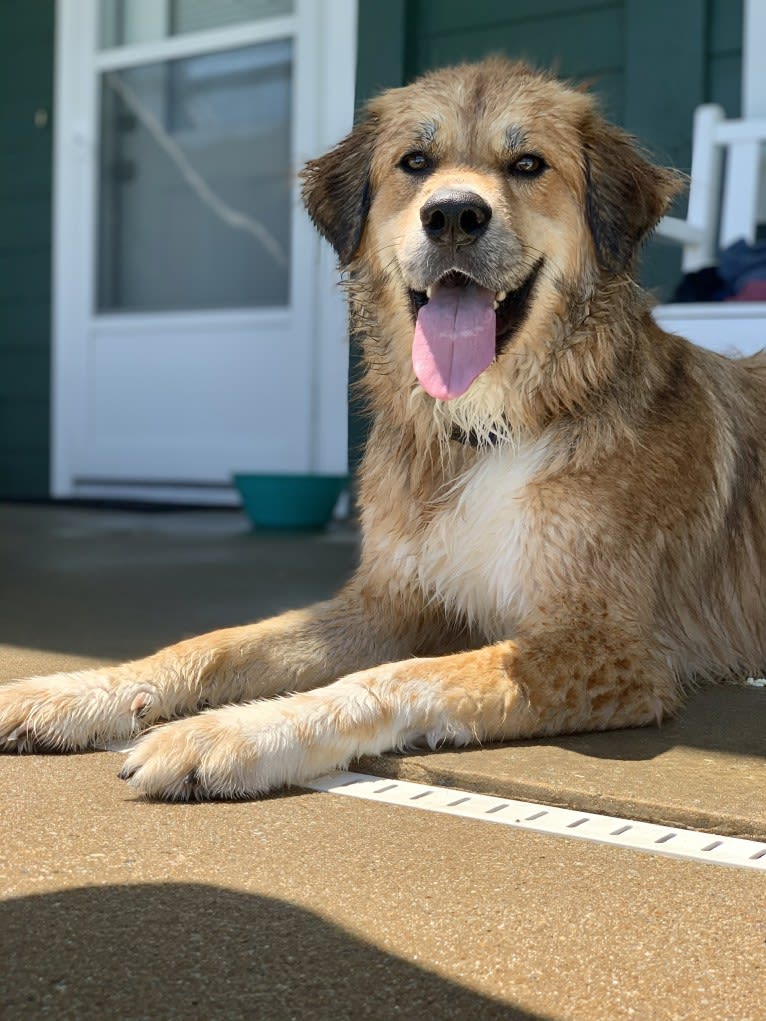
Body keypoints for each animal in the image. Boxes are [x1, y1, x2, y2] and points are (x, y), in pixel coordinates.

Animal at [1, 59, 766, 800]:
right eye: (415, 162)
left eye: (528, 164)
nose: (454, 214)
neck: (485, 430)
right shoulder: (394, 602)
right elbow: (218, 643)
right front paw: (74, 691)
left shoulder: (612, 647)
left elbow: (402, 676)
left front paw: (235, 734)